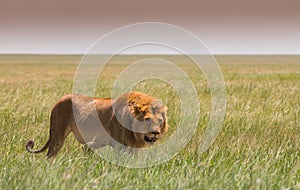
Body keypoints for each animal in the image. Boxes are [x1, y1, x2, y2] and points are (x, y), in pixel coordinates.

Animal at [25, 91, 169, 157]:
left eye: (160, 121)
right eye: (147, 119)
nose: (155, 132)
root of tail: (60, 99)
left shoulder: (132, 148)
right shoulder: (118, 146)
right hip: (57, 134)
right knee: (50, 154)